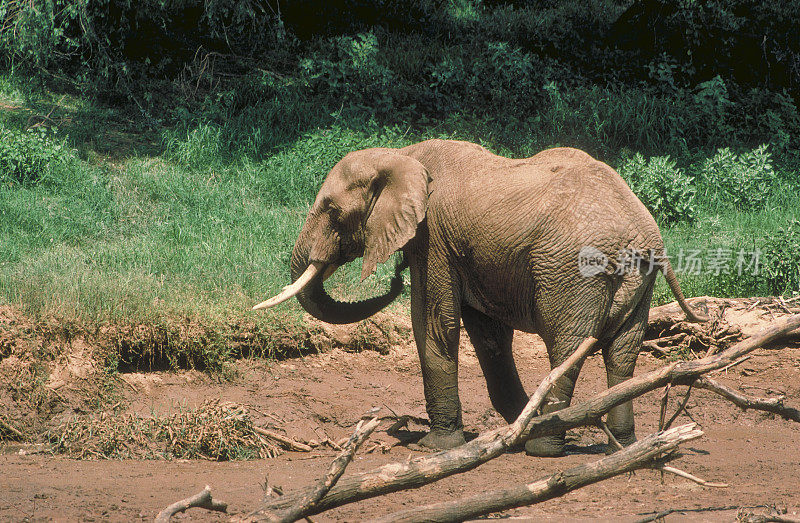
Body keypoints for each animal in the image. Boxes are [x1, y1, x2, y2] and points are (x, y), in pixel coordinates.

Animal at [255, 139, 708, 458]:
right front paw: (513, 425)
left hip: (573, 270)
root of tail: (644, 234)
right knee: (623, 352)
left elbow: (435, 324)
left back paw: (543, 447)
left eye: (331, 210)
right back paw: (625, 445)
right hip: (638, 281)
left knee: (567, 347)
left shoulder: (432, 239)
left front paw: (437, 447)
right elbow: (488, 333)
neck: (401, 157)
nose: (394, 279)